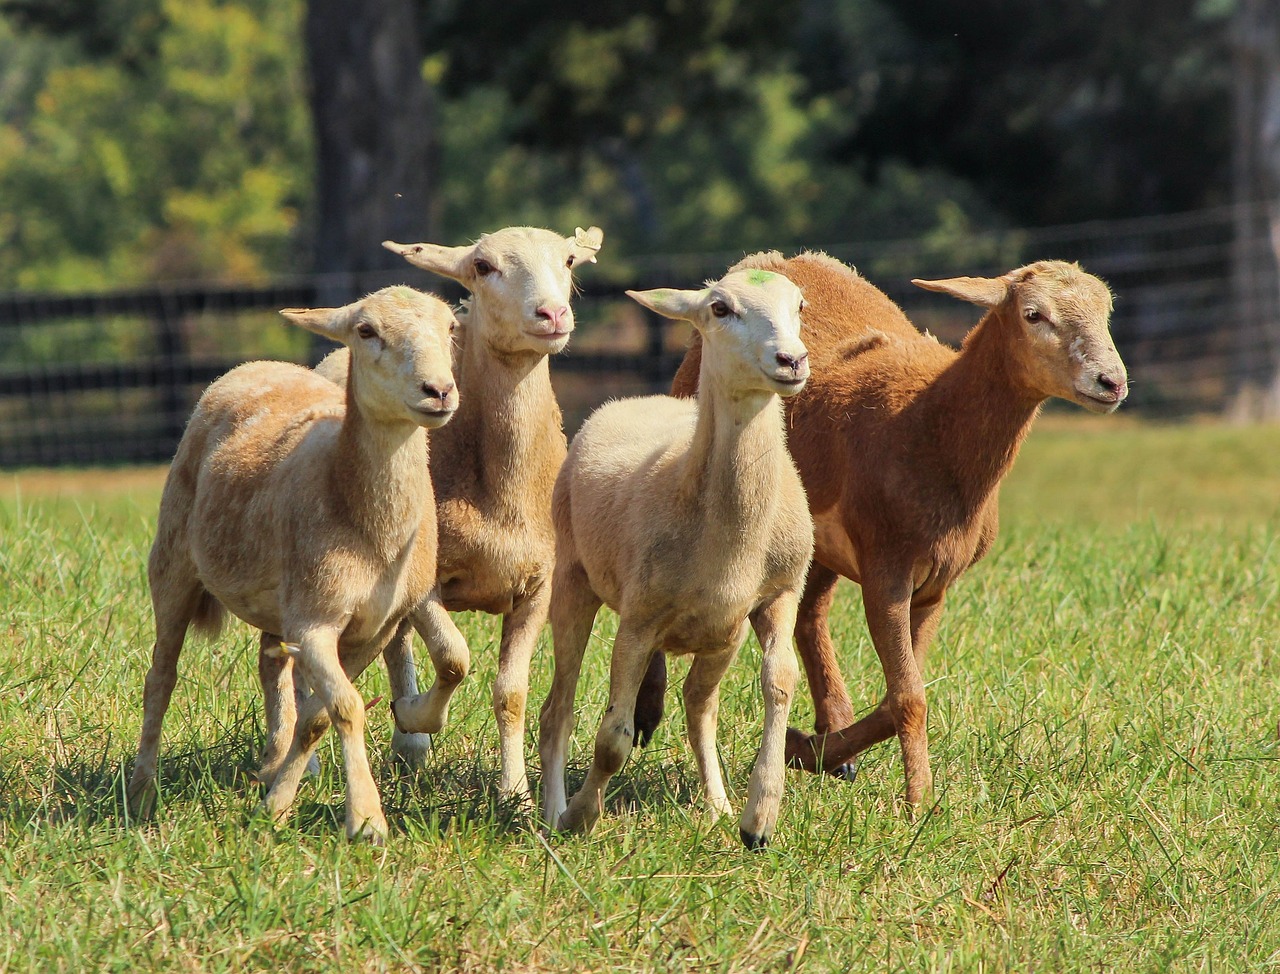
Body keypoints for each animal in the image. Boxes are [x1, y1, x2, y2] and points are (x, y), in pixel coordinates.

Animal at [128, 285, 460, 839]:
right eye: (366, 331)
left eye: (452, 328)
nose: (438, 391)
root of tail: (254, 365)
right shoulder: (315, 620)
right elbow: (347, 707)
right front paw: (366, 819)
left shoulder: (374, 628)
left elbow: (319, 715)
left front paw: (277, 804)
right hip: (171, 560)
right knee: (161, 677)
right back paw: (142, 793)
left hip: (276, 600)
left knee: (269, 663)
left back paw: (271, 763)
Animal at [294, 226, 604, 798]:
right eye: (482, 266)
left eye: (570, 260)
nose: (552, 314)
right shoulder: (425, 584)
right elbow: (454, 656)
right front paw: (417, 716)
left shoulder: (539, 585)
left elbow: (511, 692)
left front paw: (515, 793)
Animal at [537, 267, 814, 849]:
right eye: (720, 308)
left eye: (799, 304)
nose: (791, 360)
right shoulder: (638, 620)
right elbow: (612, 739)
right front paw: (580, 817)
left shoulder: (780, 594)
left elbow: (780, 682)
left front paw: (760, 816)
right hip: (573, 578)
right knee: (558, 711)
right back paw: (551, 812)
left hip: (723, 634)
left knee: (698, 707)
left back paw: (717, 805)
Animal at [650, 252, 1131, 803]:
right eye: (1034, 315)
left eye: (1106, 311)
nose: (1111, 382)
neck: (931, 429)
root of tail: (774, 258)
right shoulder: (886, 571)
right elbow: (908, 697)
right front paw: (919, 801)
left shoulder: (936, 583)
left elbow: (898, 694)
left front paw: (805, 750)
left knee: (811, 614)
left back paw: (832, 736)